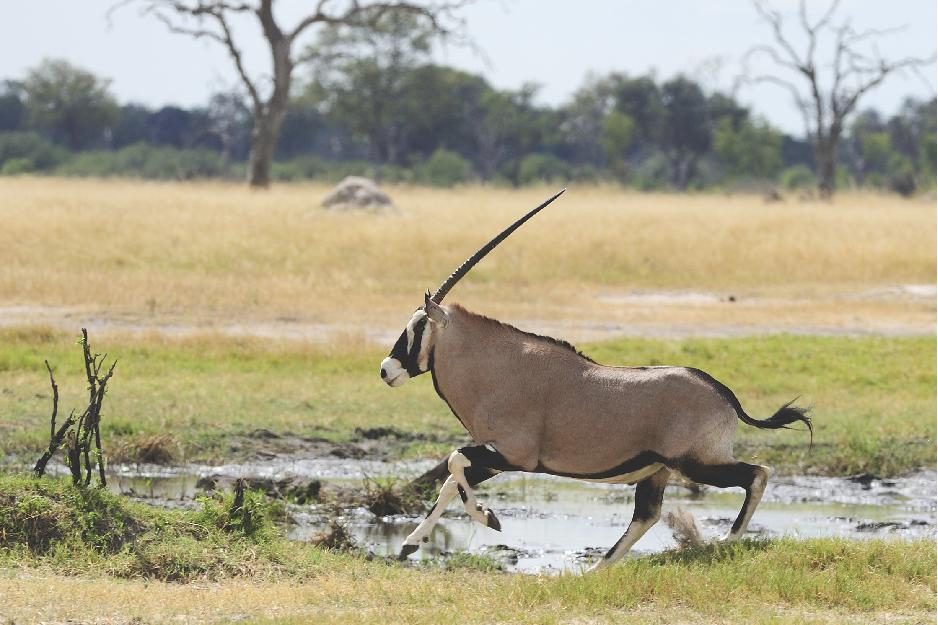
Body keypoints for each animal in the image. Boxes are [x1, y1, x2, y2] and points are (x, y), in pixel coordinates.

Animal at [379, 189, 812, 570]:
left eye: (417, 326)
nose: (387, 369)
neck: (498, 367)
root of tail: (721, 391)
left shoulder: (512, 454)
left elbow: (454, 462)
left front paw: (490, 519)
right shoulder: (495, 456)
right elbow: (451, 480)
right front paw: (409, 544)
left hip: (696, 463)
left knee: (757, 474)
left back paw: (728, 539)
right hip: (657, 472)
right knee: (647, 515)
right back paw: (596, 569)